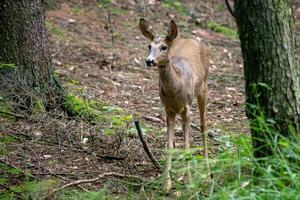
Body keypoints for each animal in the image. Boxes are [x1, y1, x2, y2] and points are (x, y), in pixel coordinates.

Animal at [139, 18, 210, 190]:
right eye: (149, 46)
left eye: (163, 47)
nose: (149, 61)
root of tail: (192, 39)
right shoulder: (168, 110)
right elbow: (170, 146)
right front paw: (166, 183)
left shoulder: (187, 109)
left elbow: (187, 146)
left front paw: (188, 181)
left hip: (203, 88)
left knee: (204, 125)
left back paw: (207, 169)